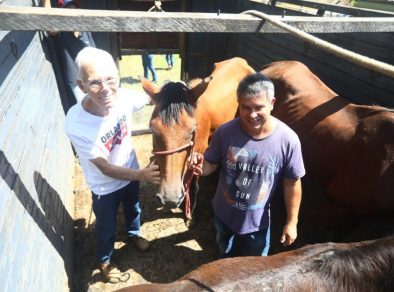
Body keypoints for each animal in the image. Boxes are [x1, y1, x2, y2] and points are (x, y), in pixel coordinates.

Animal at [142, 57, 255, 218]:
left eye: (192, 130)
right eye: (153, 129)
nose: (170, 197)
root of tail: (240, 60)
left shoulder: (198, 156)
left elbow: (193, 185)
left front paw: (190, 210)